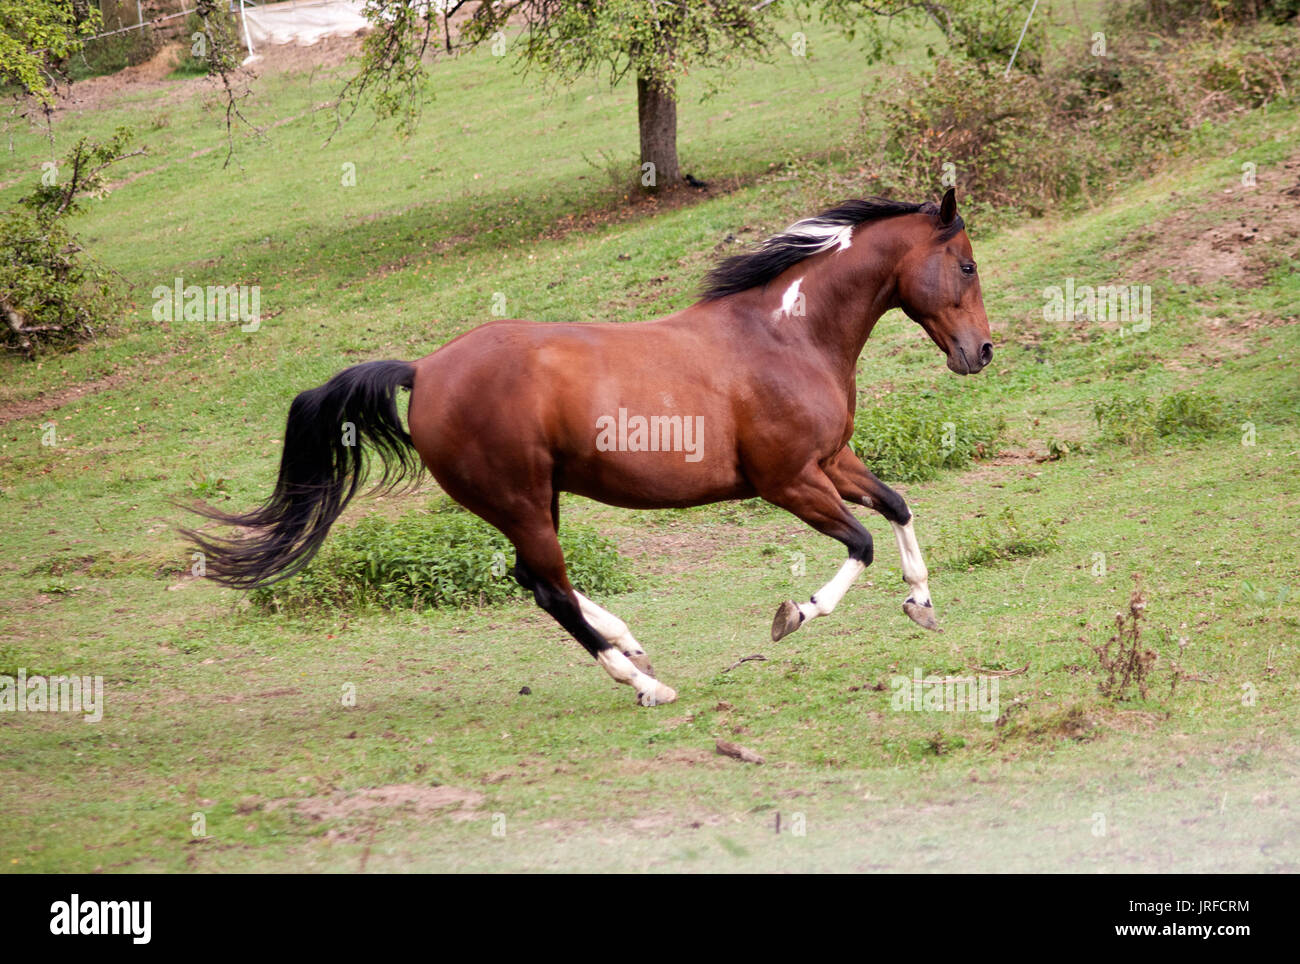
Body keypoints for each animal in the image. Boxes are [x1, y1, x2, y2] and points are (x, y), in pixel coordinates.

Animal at [188, 188, 987, 711]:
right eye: (968, 265)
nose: (981, 351)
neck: (785, 335)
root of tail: (425, 370)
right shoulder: (789, 480)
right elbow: (860, 544)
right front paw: (794, 614)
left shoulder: (832, 463)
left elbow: (897, 507)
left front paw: (921, 604)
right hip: (519, 500)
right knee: (547, 588)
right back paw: (646, 682)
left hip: (537, 499)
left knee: (540, 581)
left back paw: (632, 646)